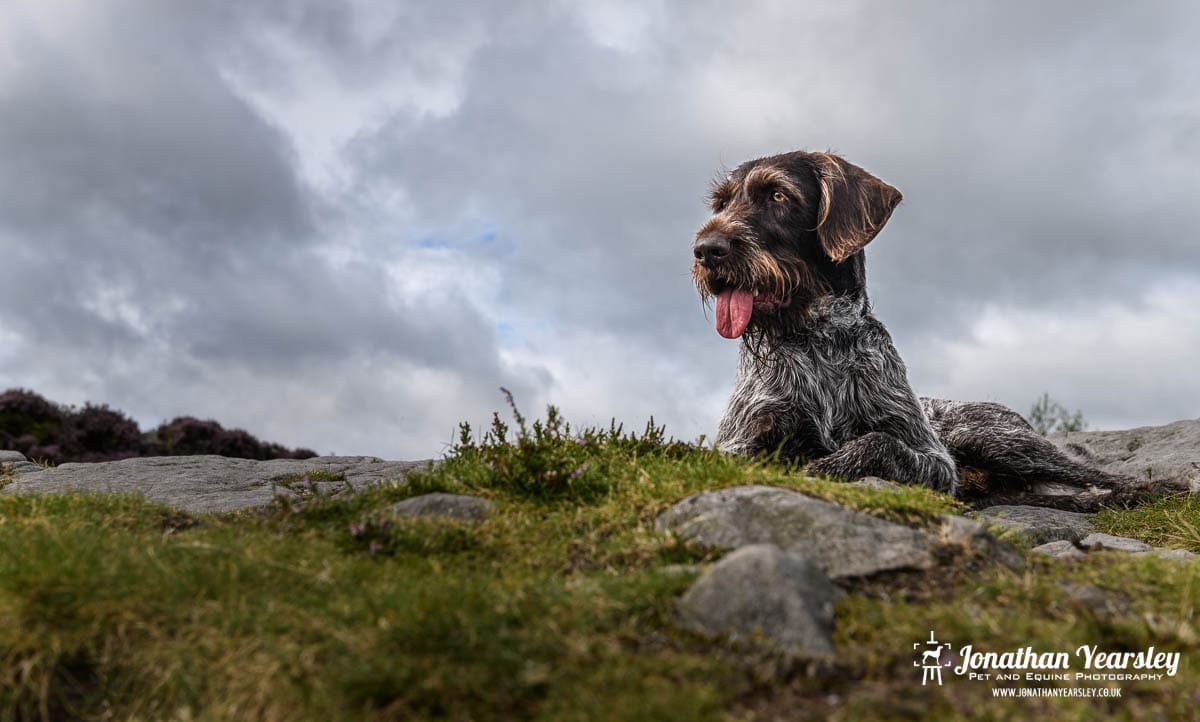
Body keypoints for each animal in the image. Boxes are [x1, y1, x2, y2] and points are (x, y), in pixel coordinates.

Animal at [696, 148, 1180, 508]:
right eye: (721, 203)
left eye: (778, 195)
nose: (706, 249)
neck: (818, 340)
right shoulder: (742, 438)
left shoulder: (933, 461)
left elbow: (879, 443)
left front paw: (826, 466)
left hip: (997, 439)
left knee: (1095, 474)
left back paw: (1153, 489)